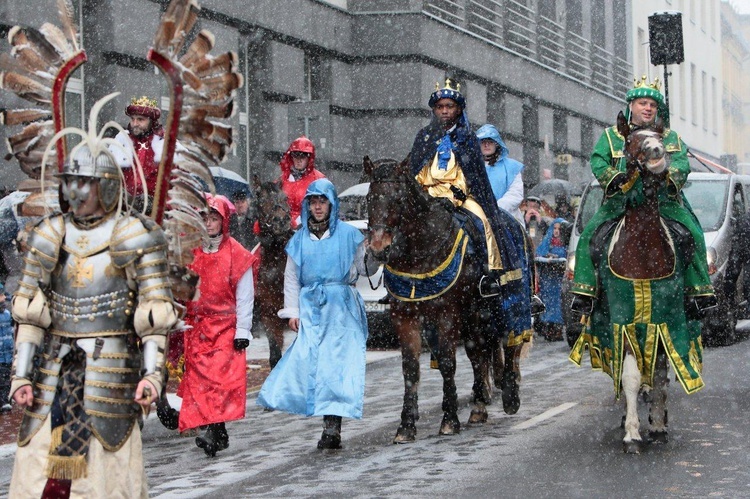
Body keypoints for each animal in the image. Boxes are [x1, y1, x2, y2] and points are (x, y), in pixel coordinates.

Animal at [366, 157, 524, 446]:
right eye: (370, 198)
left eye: (398, 199)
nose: (378, 249)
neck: (418, 254)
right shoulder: (405, 316)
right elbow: (410, 369)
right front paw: (406, 425)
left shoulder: (447, 313)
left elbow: (449, 363)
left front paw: (450, 419)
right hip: (475, 316)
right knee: (478, 353)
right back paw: (479, 406)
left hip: (504, 304)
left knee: (509, 343)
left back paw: (509, 394)